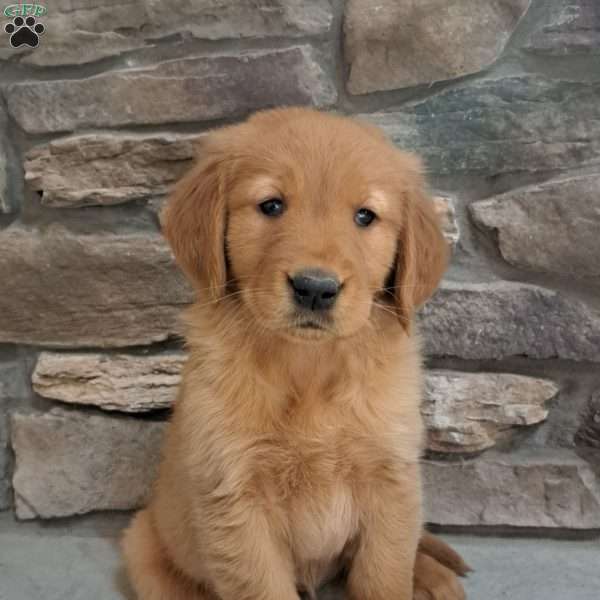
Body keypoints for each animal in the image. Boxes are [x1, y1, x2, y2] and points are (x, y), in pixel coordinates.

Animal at [122, 108, 468, 600]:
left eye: (365, 216)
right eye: (271, 205)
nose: (315, 288)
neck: (309, 369)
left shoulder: (392, 478)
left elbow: (385, 574)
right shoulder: (235, 498)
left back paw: (435, 577)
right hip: (144, 545)